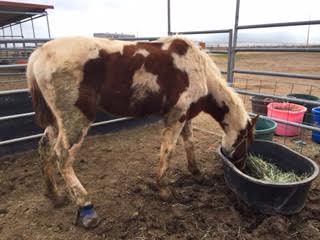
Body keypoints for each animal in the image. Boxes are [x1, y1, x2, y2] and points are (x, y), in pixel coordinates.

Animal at [27, 36, 258, 229]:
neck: (199, 69)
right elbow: (168, 151)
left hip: (56, 121)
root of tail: (38, 54)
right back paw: (85, 207)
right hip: (75, 120)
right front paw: (164, 190)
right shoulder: (176, 116)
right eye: (247, 141)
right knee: (63, 157)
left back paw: (54, 194)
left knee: (45, 148)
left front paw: (197, 174)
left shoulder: (186, 117)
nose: (243, 167)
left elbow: (189, 144)